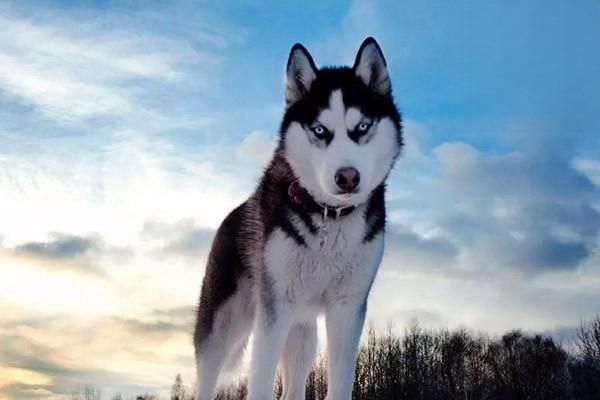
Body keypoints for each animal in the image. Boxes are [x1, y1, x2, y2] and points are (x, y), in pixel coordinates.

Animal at [195, 37, 404, 400]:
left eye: (362, 126)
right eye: (320, 130)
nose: (347, 177)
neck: (330, 217)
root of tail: (231, 216)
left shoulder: (348, 307)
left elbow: (341, 382)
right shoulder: (275, 307)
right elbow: (260, 383)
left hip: (303, 334)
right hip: (223, 324)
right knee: (207, 373)